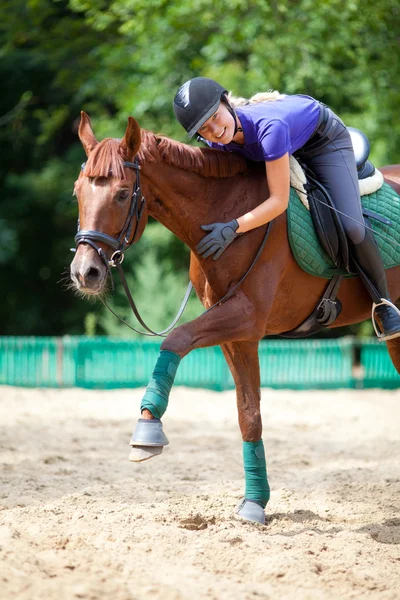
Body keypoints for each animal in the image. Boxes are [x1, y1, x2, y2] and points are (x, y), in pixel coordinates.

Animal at [70, 112, 400, 524]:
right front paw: (254, 503)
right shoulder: (236, 334)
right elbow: (248, 414)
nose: (85, 273)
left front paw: (148, 428)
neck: (225, 212)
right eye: (77, 192)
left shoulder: (245, 317)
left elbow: (176, 339)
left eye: (121, 193)